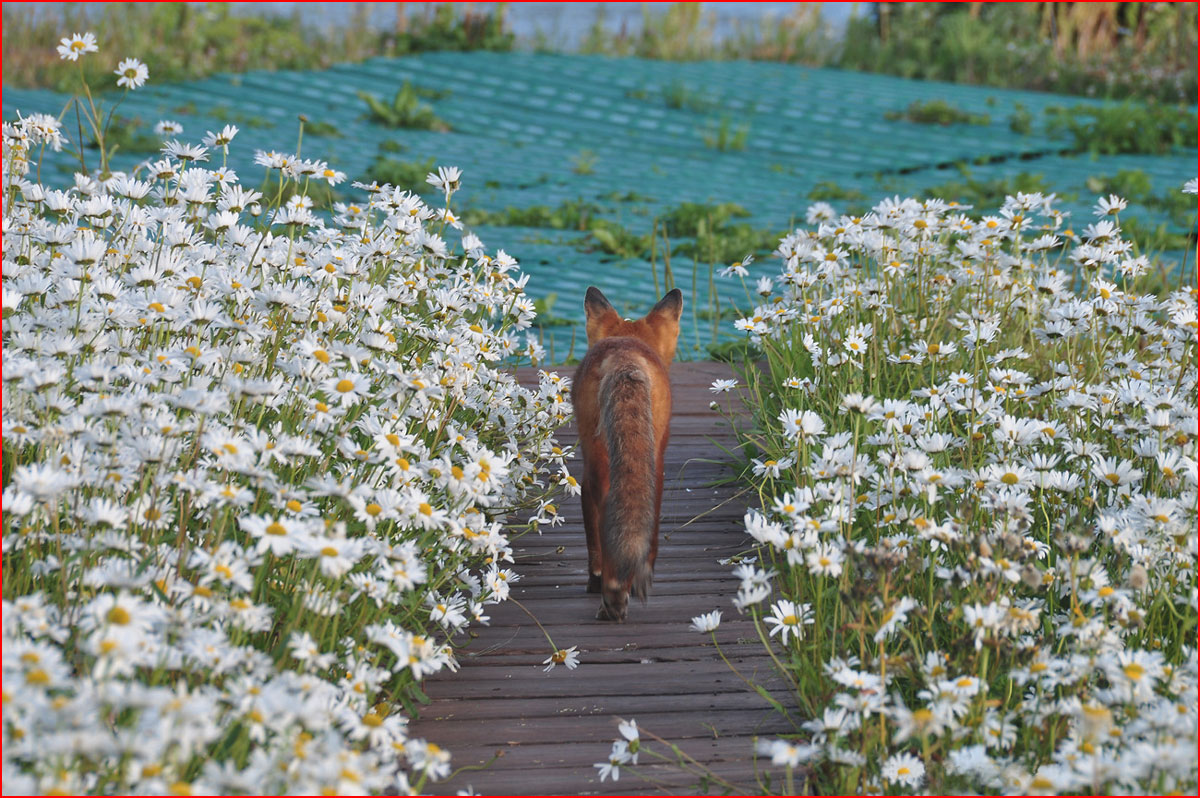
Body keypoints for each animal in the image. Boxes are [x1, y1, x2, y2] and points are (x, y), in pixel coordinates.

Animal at [568, 286, 676, 624]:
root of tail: (625, 355)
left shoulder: (585, 481)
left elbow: (593, 541)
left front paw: (595, 580)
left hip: (598, 466)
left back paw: (612, 594)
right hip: (652, 464)